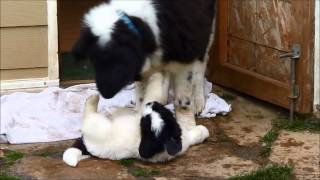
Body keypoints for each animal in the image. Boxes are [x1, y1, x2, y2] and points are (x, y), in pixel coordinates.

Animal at [72, 0, 218, 114]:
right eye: (94, 62)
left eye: (117, 61)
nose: (105, 94)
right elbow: (141, 94)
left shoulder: (187, 52)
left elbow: (185, 85)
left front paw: (186, 105)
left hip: (205, 35)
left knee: (199, 70)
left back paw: (198, 102)